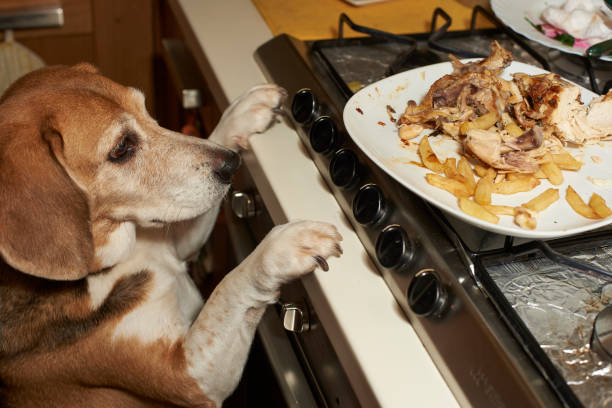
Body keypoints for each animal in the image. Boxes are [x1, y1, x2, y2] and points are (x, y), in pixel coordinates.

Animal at [0, 62, 344, 406]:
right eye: (121, 147)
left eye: (144, 108)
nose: (231, 164)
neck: (112, 267)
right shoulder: (188, 375)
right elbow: (230, 284)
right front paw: (281, 249)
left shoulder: (178, 243)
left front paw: (243, 111)